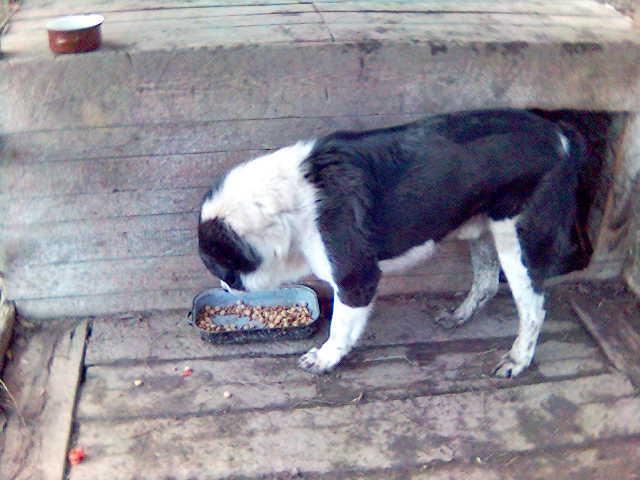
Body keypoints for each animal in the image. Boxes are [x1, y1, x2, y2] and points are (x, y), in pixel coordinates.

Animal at [198, 109, 584, 378]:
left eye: (222, 270)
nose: (225, 289)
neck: (281, 205)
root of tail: (561, 136)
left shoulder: (356, 279)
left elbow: (340, 328)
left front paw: (325, 358)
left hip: (519, 244)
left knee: (534, 310)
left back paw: (517, 360)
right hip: (486, 232)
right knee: (487, 284)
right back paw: (458, 317)